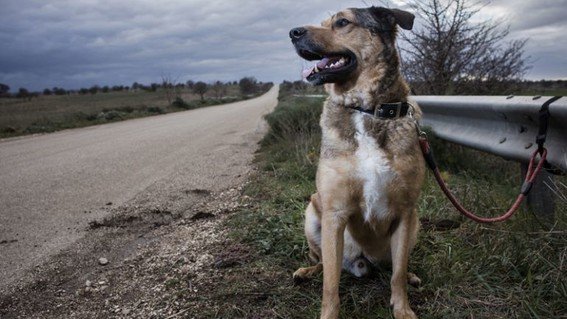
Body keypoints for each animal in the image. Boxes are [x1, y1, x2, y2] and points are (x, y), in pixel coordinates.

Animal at [290, 5, 424, 319]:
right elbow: (330, 284)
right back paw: (306, 271)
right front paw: (328, 314)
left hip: (416, 225)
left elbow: (397, 274)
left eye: (342, 22)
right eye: (324, 22)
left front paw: (402, 308)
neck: (366, 109)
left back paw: (411, 276)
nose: (293, 33)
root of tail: (365, 261)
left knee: (395, 266)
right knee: (324, 263)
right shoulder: (334, 213)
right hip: (312, 215)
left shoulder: (406, 212)